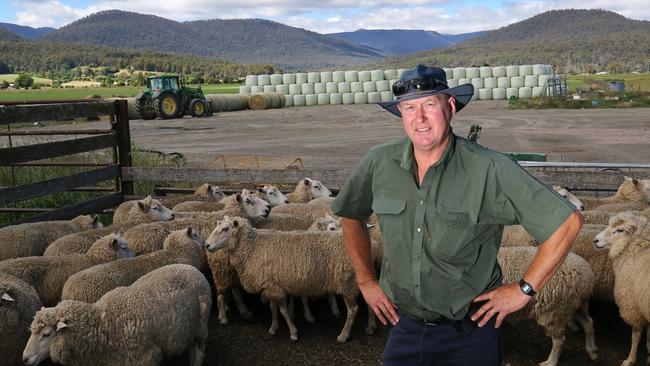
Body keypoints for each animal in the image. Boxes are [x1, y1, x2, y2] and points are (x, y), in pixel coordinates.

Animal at [21, 264, 210, 366]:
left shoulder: (145, 357)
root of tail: (192, 269)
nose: (24, 358)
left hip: (200, 327)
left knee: (199, 352)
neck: (103, 327)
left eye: (46, 334)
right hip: (185, 329)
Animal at [205, 216, 372, 342]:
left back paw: (343, 335)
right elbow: (273, 308)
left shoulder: (276, 288)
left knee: (353, 310)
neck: (252, 247)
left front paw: (293, 333)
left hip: (348, 284)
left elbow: (283, 310)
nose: (206, 245)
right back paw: (371, 327)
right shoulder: (271, 284)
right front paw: (273, 328)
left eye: (225, 229)